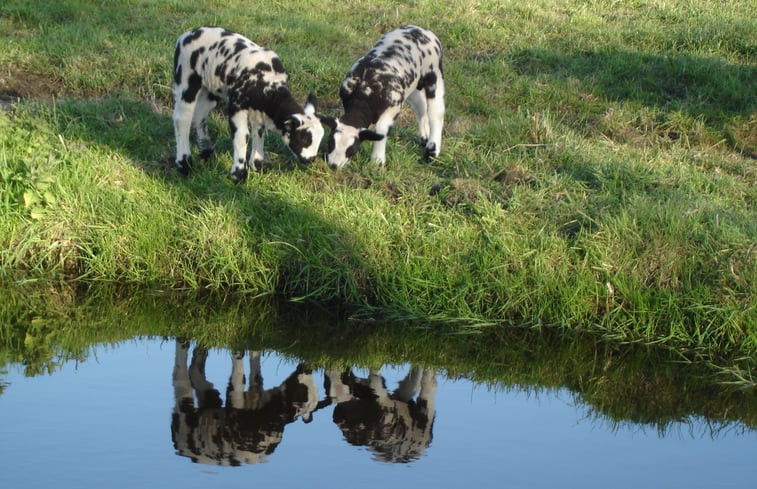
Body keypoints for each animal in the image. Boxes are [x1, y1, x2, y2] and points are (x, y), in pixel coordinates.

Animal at [173, 26, 324, 181]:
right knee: (182, 118)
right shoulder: (237, 105)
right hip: (186, 77)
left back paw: (206, 153)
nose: (311, 159)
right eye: (303, 139)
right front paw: (238, 174)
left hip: (210, 87)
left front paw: (257, 165)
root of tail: (187, 35)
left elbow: (259, 132)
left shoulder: (259, 110)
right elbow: (242, 136)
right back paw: (184, 164)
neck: (269, 87)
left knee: (200, 114)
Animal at [318, 25, 442, 169]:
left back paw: (432, 151)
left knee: (436, 113)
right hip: (412, 85)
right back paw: (424, 137)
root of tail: (422, 30)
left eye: (352, 150)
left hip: (435, 75)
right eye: (330, 143)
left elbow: (381, 131)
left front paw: (377, 161)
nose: (333, 165)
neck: (364, 95)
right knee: (420, 106)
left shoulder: (393, 107)